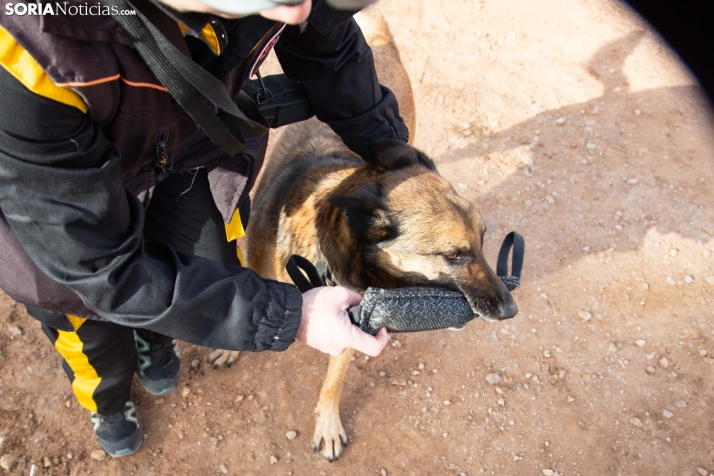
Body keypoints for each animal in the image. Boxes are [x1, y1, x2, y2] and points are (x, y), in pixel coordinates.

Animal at [209, 5, 516, 462]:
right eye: (454, 255)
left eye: (483, 239)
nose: (511, 309)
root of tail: (380, 43)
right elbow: (241, 306)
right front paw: (232, 345)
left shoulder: (351, 326)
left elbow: (333, 381)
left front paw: (329, 425)